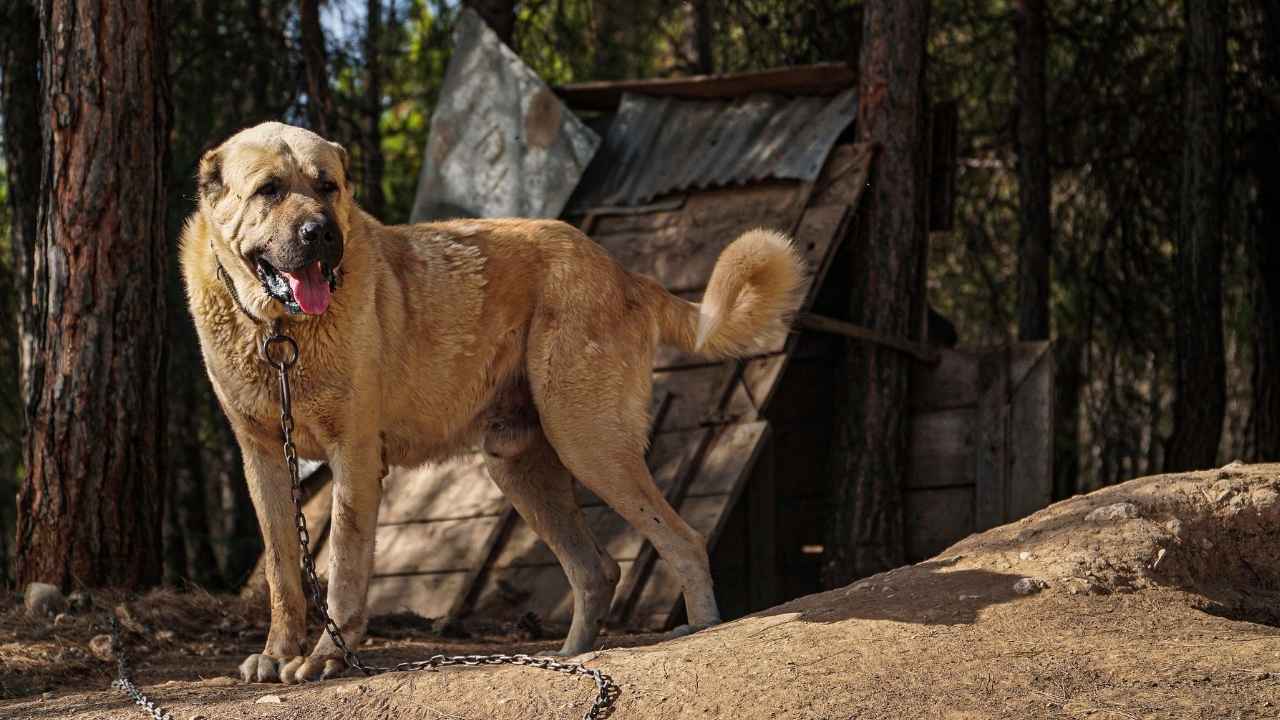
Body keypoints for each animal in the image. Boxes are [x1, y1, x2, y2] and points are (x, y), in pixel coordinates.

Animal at [180, 120, 803, 681]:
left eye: (327, 185)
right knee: (597, 569)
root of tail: (623, 271)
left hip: (587, 442)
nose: (321, 233)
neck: (278, 332)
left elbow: (345, 570)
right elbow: (283, 573)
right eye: (269, 190)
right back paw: (571, 657)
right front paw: (279, 654)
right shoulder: (263, 459)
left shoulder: (352, 457)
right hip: (521, 466)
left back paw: (701, 628)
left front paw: (328, 658)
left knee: (683, 541)